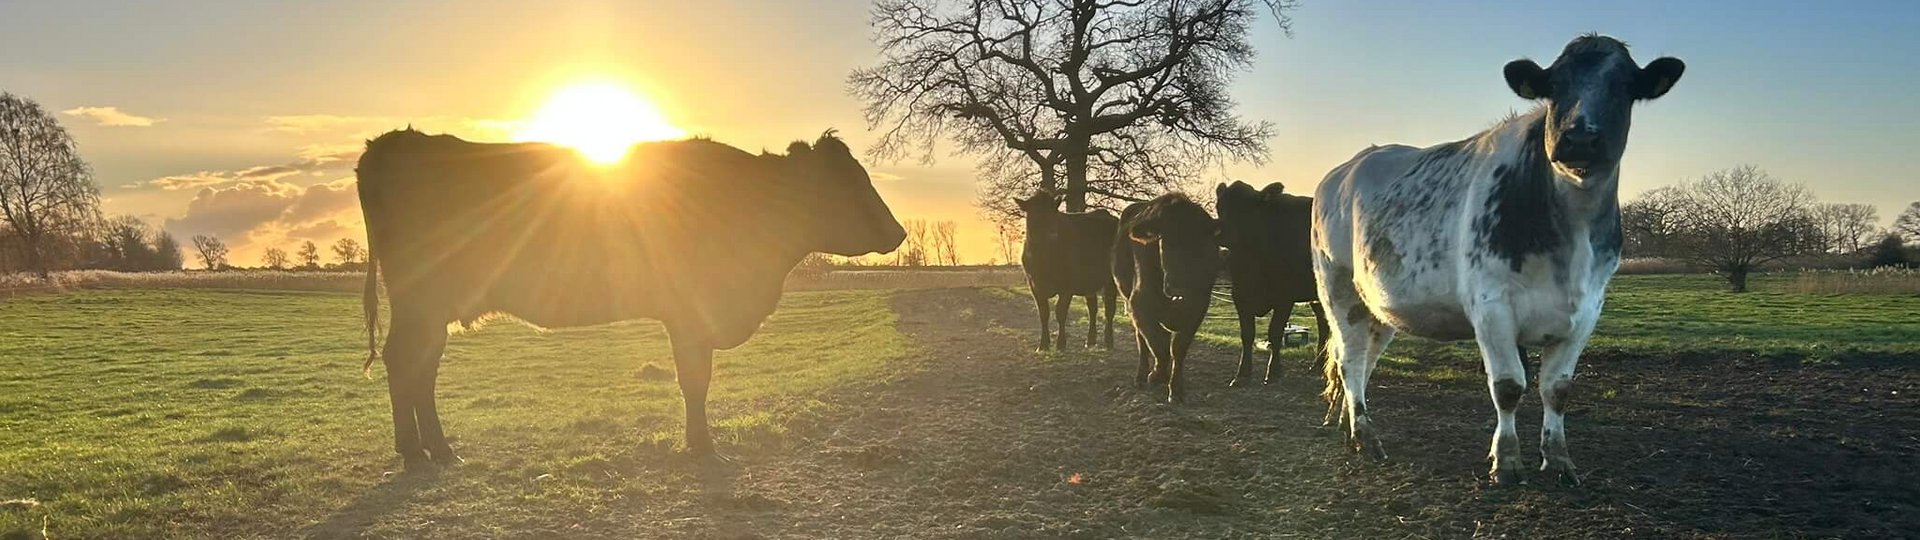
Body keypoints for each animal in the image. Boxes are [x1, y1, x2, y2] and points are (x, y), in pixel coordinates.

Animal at [355, 128, 906, 468]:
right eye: (847, 183)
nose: (898, 231)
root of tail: (390, 143)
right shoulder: (690, 316)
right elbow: (695, 382)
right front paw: (703, 447)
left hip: (429, 311)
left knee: (419, 367)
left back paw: (433, 450)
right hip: (422, 303)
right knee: (405, 363)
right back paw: (419, 451)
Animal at [1016, 190, 1118, 351]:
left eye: (1054, 212)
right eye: (1035, 213)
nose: (1052, 233)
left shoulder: (1066, 287)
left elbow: (1060, 312)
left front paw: (1061, 343)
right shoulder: (1034, 286)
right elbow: (1043, 314)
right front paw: (1043, 345)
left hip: (1111, 281)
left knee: (1109, 309)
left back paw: (1108, 342)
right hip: (1089, 283)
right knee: (1093, 308)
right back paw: (1090, 341)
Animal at [1113, 193, 1222, 403]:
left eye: (1201, 245)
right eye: (1166, 242)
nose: (1177, 284)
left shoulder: (1198, 307)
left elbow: (1178, 348)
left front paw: (1176, 390)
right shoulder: (1140, 303)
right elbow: (1158, 344)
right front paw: (1157, 375)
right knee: (1142, 340)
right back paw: (1141, 376)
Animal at [1215, 181, 1330, 387]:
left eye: (1248, 208)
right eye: (1220, 207)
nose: (1220, 232)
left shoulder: (1285, 296)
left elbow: (1275, 332)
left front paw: (1274, 371)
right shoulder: (1240, 295)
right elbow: (1247, 334)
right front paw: (1242, 374)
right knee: (1324, 322)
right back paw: (1318, 365)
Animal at [1311, 34, 1684, 485]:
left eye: (1624, 87)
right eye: (1554, 87)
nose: (1579, 139)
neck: (1570, 238)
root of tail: (1345, 168)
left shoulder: (1587, 311)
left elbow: (1557, 390)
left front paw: (1559, 460)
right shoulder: (1491, 306)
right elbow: (1508, 386)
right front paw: (1505, 462)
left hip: (1378, 307)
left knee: (1363, 362)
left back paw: (1351, 430)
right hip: (1337, 287)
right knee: (1349, 361)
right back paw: (1365, 437)